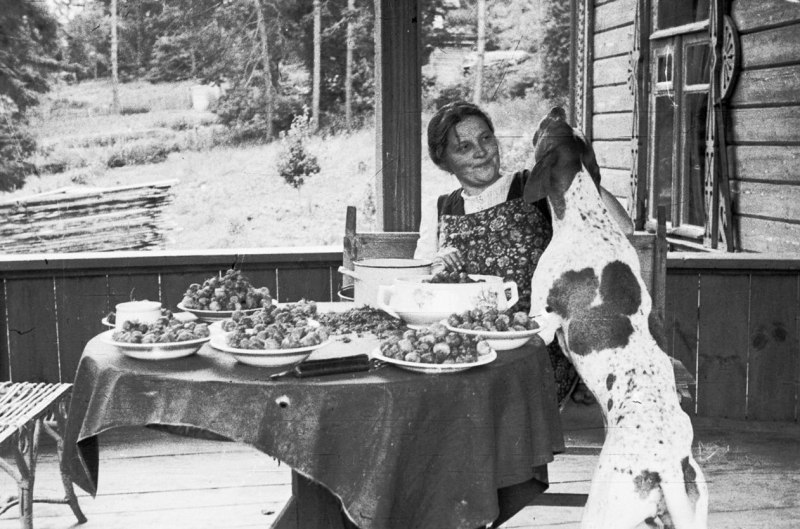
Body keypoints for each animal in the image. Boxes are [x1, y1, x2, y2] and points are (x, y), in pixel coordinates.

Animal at [524, 107, 708, 529]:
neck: (587, 218)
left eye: (549, 128)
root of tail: (666, 466)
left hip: (601, 510)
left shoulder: (540, 319)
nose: (558, 107)